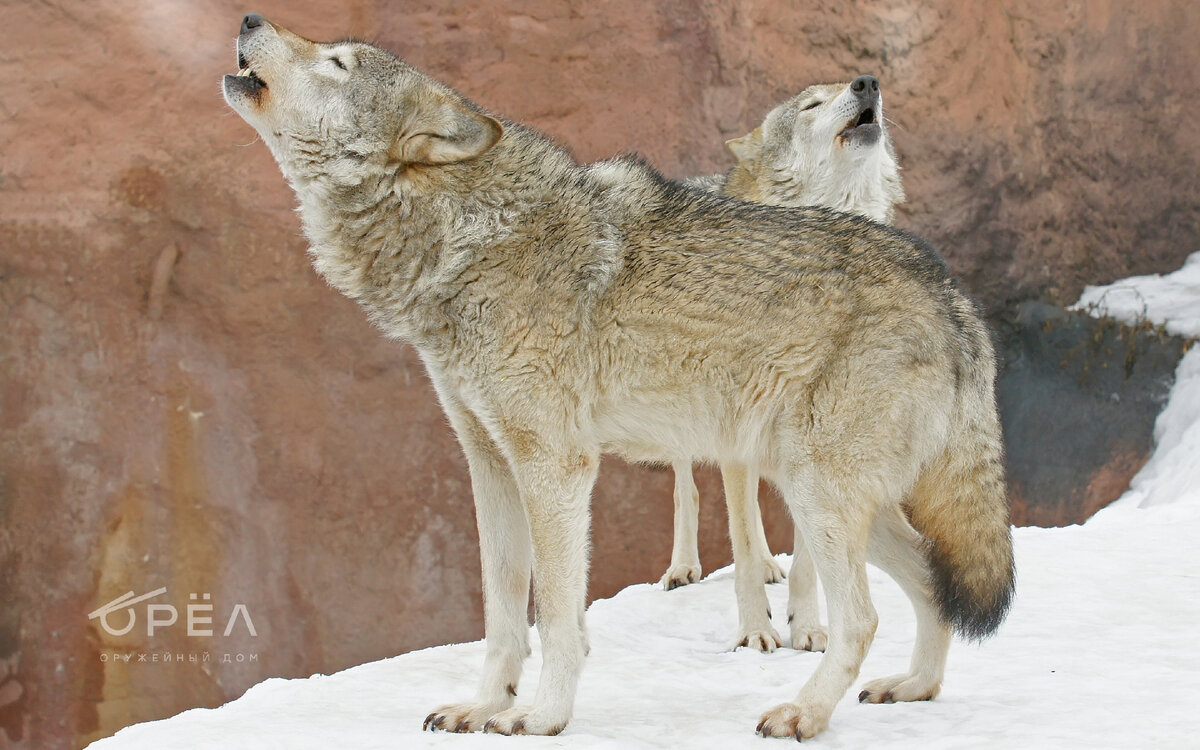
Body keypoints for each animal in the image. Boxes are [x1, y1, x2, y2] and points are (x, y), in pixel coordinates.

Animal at [667, 76, 907, 657]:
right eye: (811, 105)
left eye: (851, 83)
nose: (867, 82)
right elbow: (738, 541)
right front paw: (755, 630)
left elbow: (805, 559)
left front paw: (810, 626)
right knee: (691, 489)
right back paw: (683, 567)